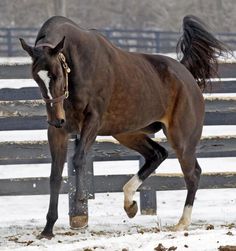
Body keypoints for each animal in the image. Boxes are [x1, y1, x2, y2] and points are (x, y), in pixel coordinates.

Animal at [19, 14, 227, 238]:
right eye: (36, 77)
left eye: (57, 73)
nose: (57, 119)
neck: (77, 62)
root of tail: (186, 74)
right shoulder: (58, 132)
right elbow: (55, 176)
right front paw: (48, 229)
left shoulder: (92, 121)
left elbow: (78, 159)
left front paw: (80, 206)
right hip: (127, 133)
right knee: (157, 154)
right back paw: (130, 204)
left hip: (182, 139)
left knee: (193, 174)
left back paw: (182, 223)